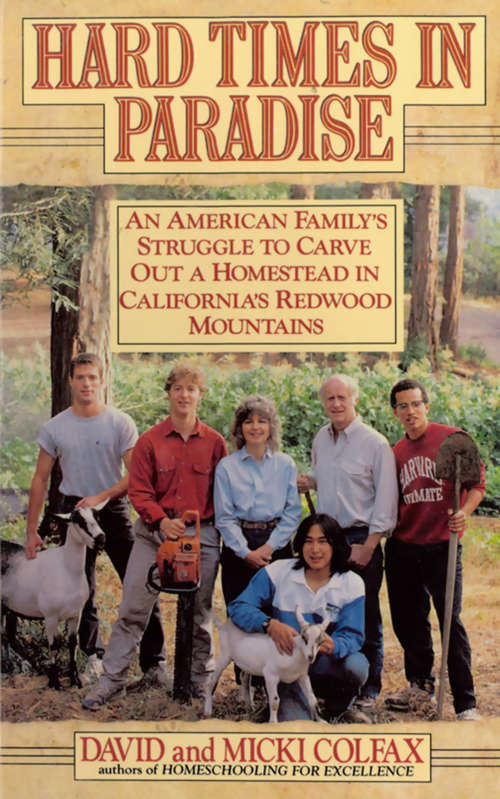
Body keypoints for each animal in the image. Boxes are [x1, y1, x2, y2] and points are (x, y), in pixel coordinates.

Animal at [1, 506, 105, 688]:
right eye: (79, 520)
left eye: (97, 517)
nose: (101, 539)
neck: (66, 568)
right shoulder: (50, 616)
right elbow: (54, 645)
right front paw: (54, 681)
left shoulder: (75, 615)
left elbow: (72, 643)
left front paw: (75, 679)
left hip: (7, 607)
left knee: (7, 636)